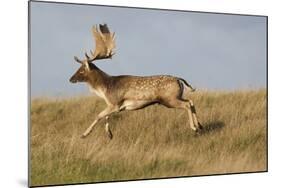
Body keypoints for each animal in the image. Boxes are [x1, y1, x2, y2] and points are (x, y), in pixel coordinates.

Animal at [69, 23, 201, 139]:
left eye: (81, 70)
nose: (70, 79)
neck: (105, 89)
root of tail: (179, 79)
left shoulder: (115, 103)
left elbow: (98, 115)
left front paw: (84, 134)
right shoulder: (114, 106)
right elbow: (106, 117)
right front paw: (109, 134)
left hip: (169, 99)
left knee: (187, 104)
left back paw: (194, 127)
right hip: (176, 96)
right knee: (190, 101)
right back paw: (199, 125)